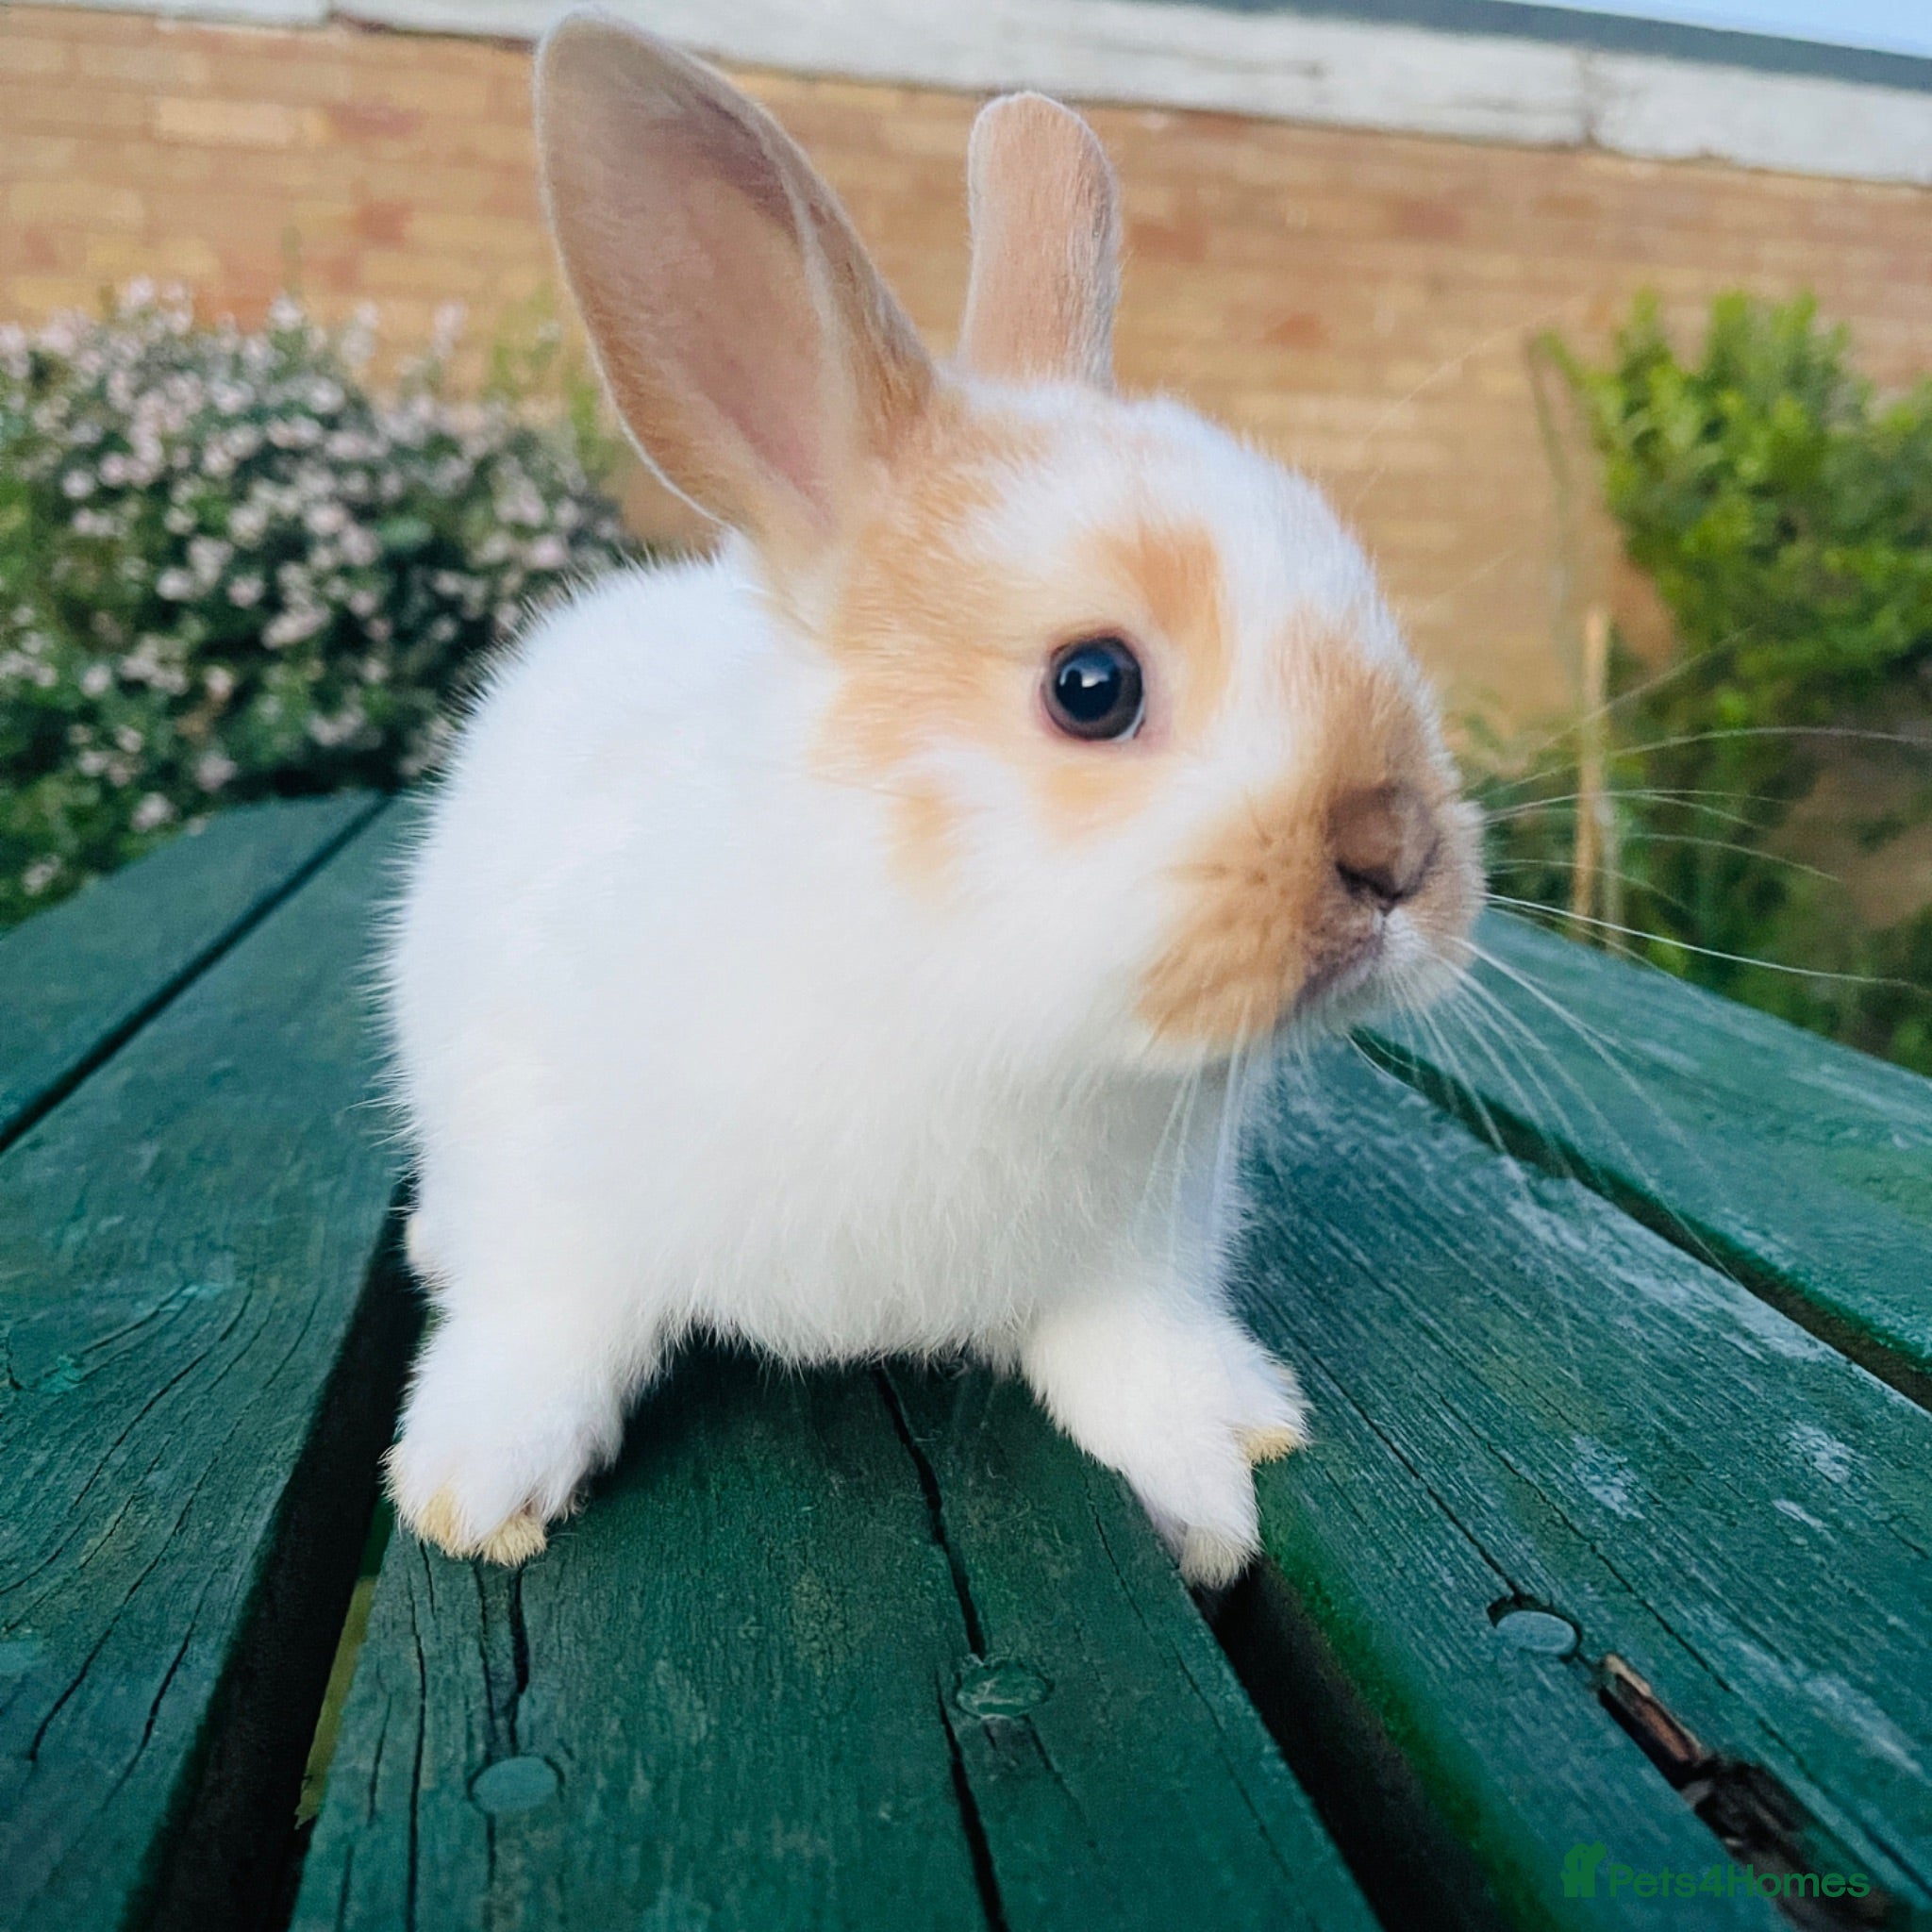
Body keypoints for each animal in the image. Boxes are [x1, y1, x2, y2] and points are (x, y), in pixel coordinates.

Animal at [382, 9, 1484, 1588]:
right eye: (1092, 685)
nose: (1400, 858)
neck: (959, 1002)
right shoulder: (540, 1164)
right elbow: (543, 1326)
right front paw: (475, 1494)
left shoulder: (1142, 1251)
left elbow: (1136, 1357)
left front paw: (1214, 1489)